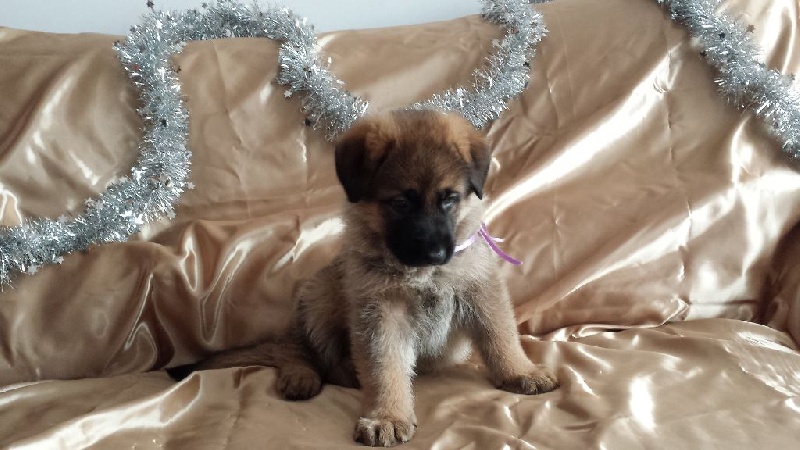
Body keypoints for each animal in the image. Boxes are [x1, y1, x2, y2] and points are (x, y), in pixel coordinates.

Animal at [168, 109, 559, 447]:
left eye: (450, 199)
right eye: (401, 202)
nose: (435, 254)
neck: (422, 274)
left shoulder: (480, 289)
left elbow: (500, 336)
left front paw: (520, 371)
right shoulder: (381, 311)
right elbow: (384, 366)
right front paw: (388, 415)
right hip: (322, 293)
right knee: (296, 348)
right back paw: (302, 375)